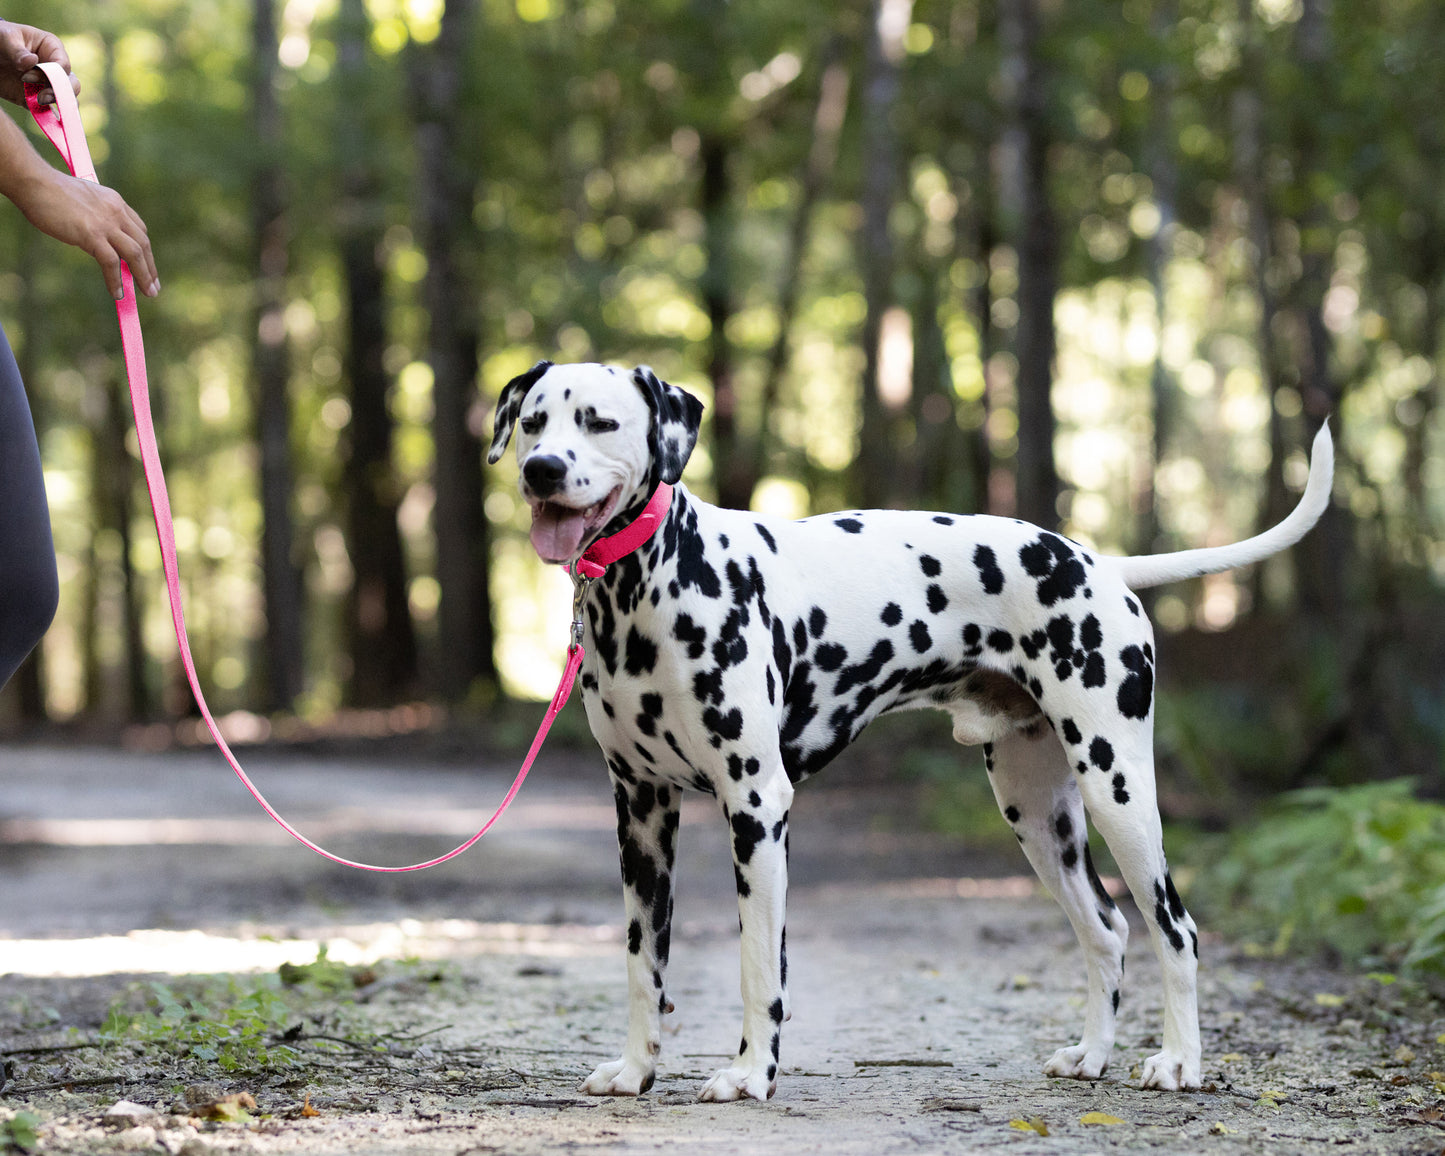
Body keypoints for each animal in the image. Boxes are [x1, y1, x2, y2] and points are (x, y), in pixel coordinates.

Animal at [485, 358, 1329, 1103]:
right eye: (533, 423)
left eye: (599, 421)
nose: (542, 470)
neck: (648, 588)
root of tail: (1099, 563)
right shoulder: (640, 814)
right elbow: (642, 963)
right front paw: (635, 1071)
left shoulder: (756, 807)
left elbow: (758, 963)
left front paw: (750, 1075)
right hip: (1038, 815)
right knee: (1107, 930)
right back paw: (1090, 1056)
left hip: (1117, 788)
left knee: (1174, 928)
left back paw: (1179, 1062)